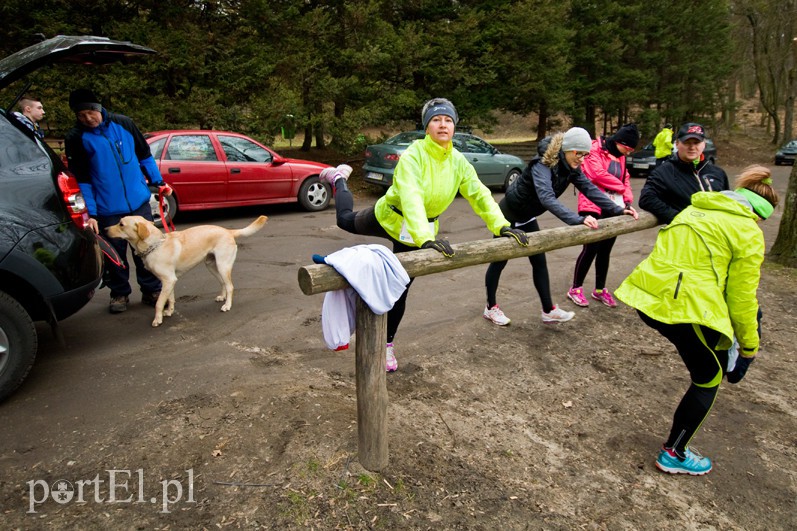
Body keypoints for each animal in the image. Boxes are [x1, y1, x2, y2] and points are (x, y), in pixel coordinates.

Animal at [104, 215, 268, 324]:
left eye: (121, 224)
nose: (104, 229)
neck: (155, 245)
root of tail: (228, 231)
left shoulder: (169, 280)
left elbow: (159, 303)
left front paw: (157, 319)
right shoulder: (169, 281)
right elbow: (170, 298)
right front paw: (169, 311)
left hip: (223, 265)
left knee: (230, 286)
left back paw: (227, 305)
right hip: (212, 266)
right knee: (223, 283)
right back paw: (222, 297)